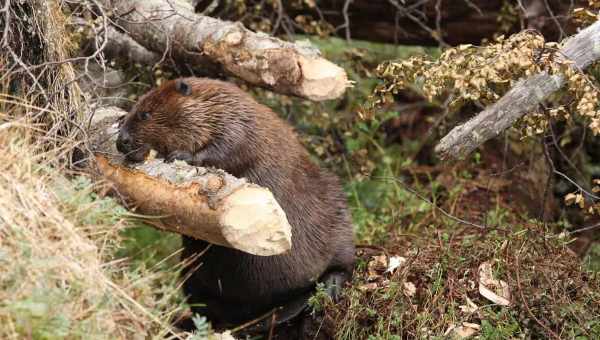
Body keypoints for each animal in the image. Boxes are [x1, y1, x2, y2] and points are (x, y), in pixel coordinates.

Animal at [115, 77, 354, 330]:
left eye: (145, 114)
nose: (121, 142)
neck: (217, 103)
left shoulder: (239, 124)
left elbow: (228, 147)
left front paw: (180, 155)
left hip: (337, 212)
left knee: (344, 264)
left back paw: (329, 287)